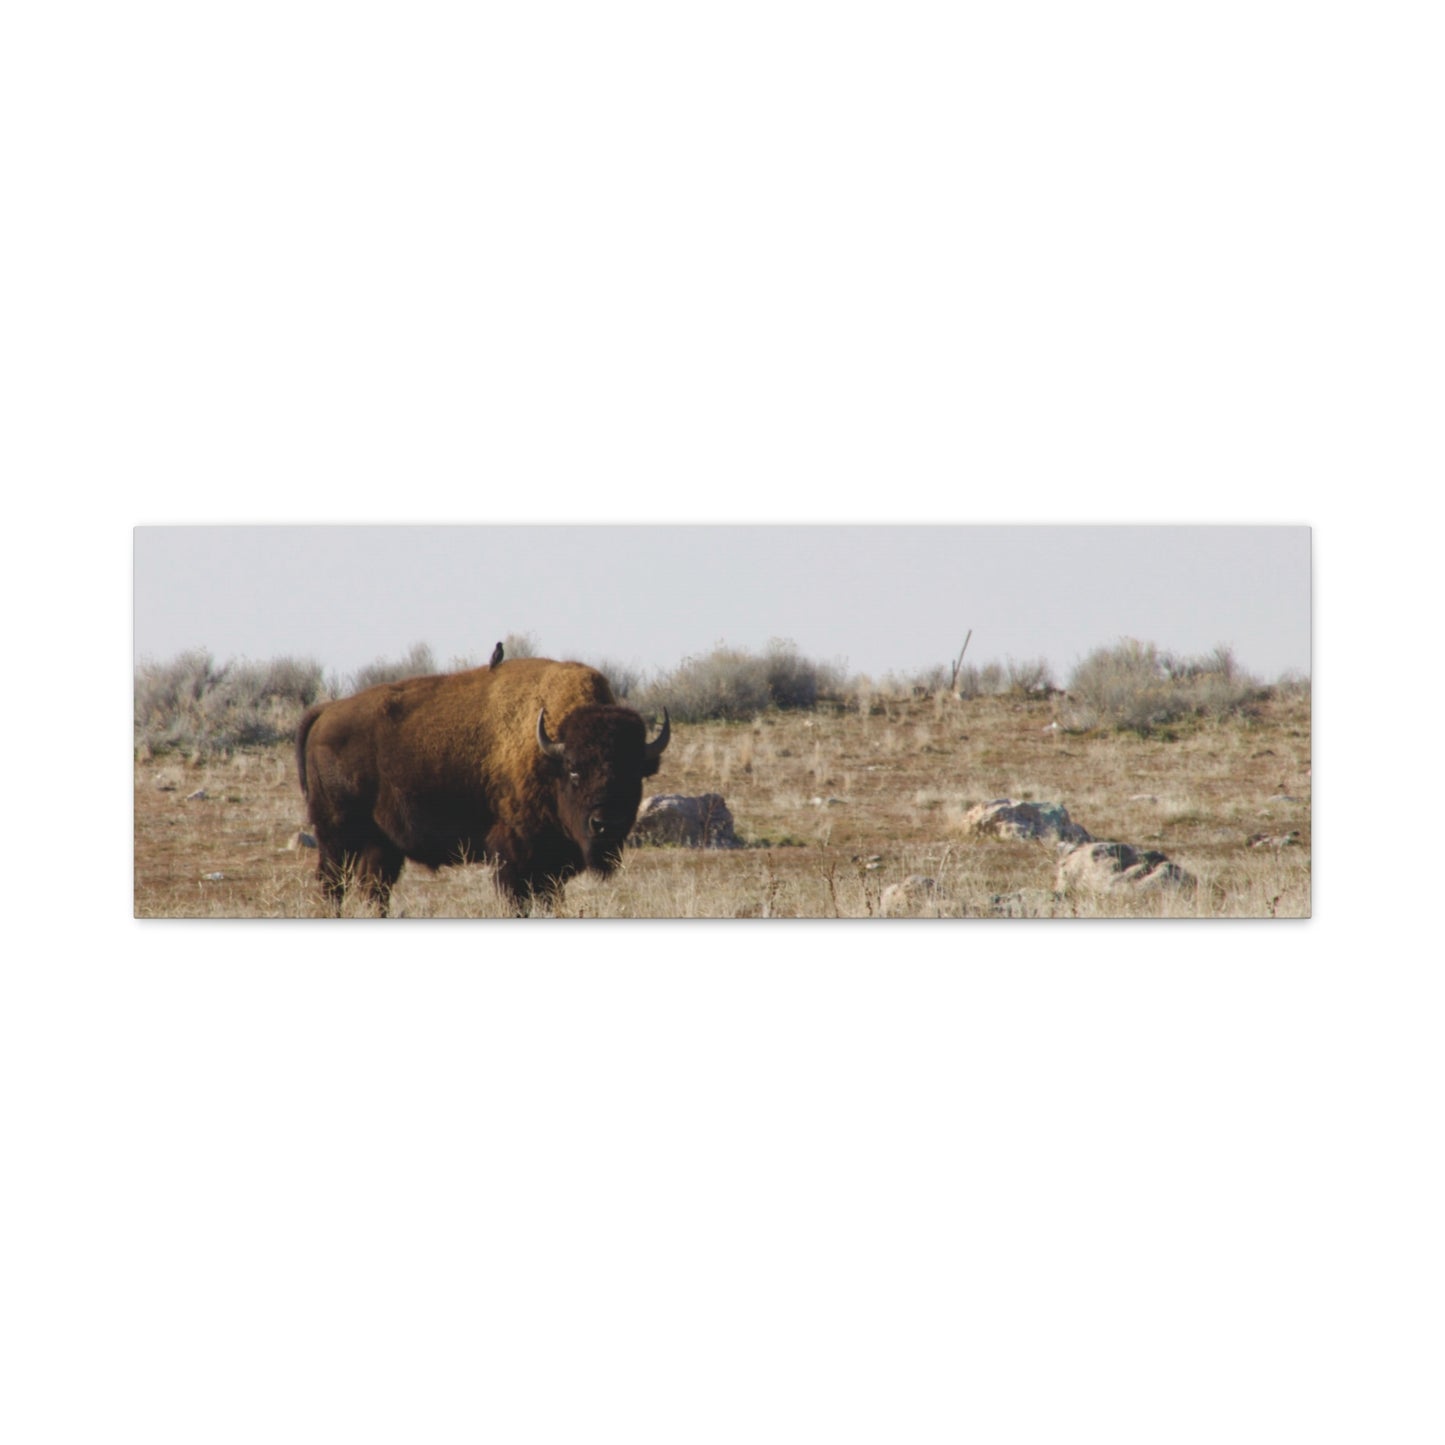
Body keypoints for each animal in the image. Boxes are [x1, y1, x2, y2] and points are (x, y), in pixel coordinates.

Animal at [295, 658, 669, 913]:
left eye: (634, 773)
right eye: (575, 771)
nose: (606, 824)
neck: (548, 755)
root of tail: (326, 712)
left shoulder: (551, 867)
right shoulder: (513, 858)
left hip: (380, 844)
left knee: (373, 889)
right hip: (337, 837)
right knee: (333, 885)